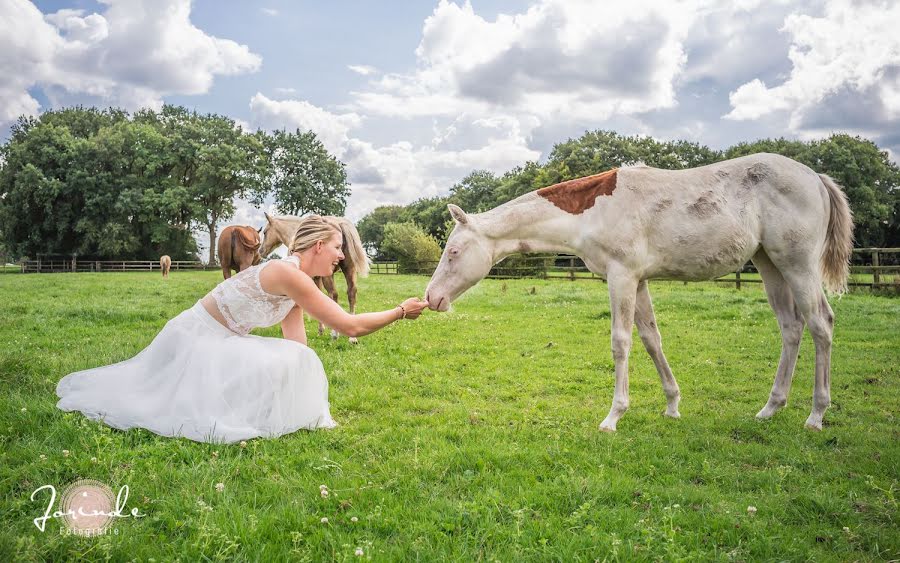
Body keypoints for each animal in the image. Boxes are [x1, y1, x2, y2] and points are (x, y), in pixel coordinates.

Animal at [260, 212, 370, 344]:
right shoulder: (316, 278)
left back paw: (335, 334)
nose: (260, 251)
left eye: (265, 232)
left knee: (334, 295)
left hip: (329, 274)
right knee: (351, 293)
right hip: (350, 269)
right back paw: (352, 338)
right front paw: (320, 330)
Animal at [426, 153, 856, 432]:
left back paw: (816, 415)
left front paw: (613, 416)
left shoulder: (622, 277)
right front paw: (672, 405)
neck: (592, 212)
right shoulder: (641, 280)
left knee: (821, 324)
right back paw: (770, 408)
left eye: (453, 251)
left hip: (798, 265)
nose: (432, 298)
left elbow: (621, 342)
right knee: (791, 328)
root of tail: (815, 177)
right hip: (770, 265)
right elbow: (651, 339)